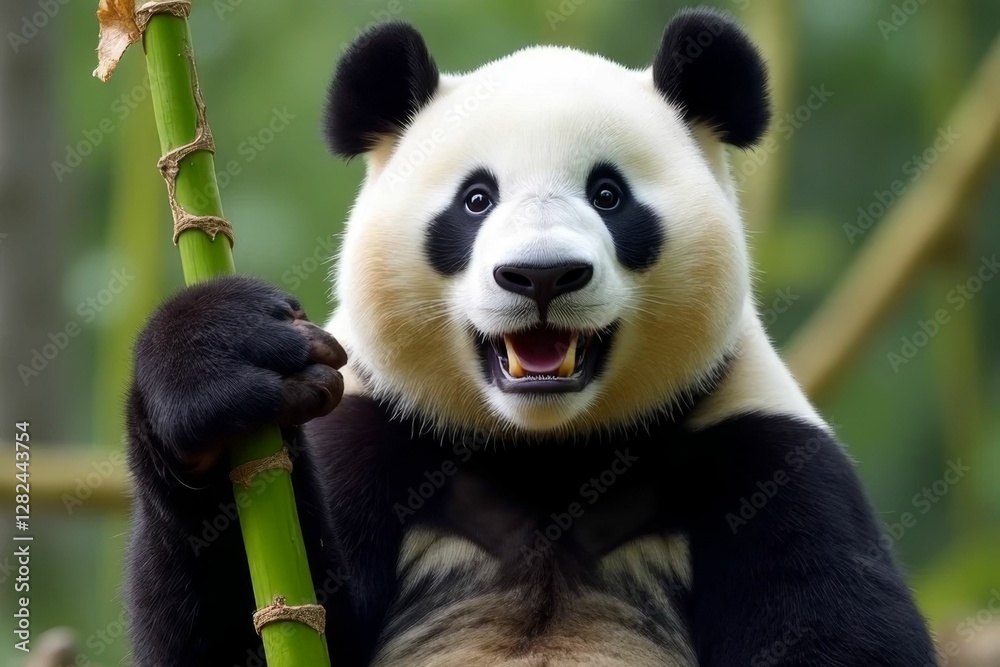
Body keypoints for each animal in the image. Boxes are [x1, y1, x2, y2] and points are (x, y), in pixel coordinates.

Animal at [124, 8, 936, 666]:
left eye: (609, 194)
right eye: (476, 199)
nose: (542, 275)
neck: (547, 457)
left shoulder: (766, 456)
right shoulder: (369, 429)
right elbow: (249, 634)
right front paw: (220, 361)